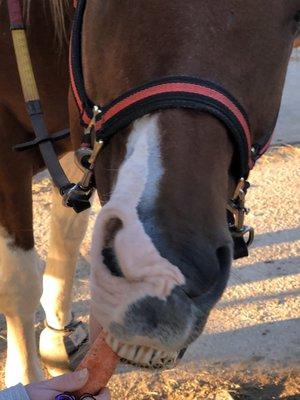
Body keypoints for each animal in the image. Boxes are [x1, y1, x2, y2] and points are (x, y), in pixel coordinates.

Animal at [0, 0, 298, 388]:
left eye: (294, 16)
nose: (164, 276)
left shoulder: (78, 144)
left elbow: (66, 239)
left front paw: (56, 340)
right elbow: (19, 283)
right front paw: (25, 379)